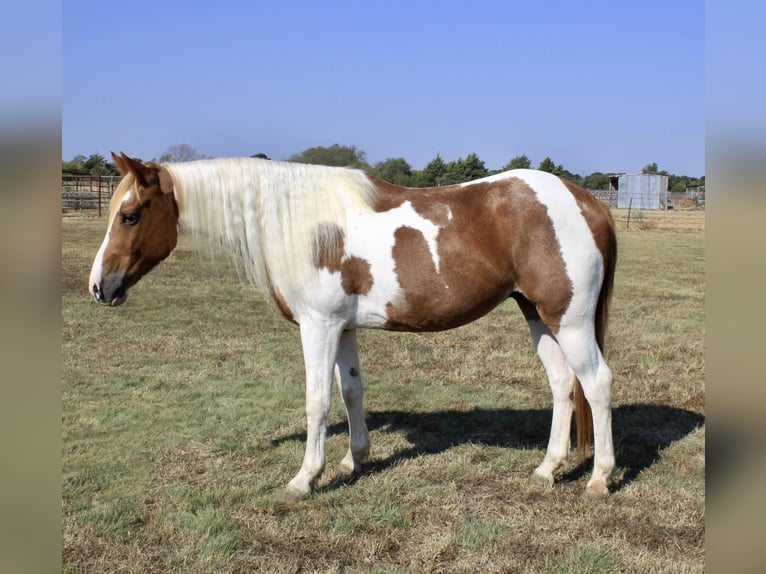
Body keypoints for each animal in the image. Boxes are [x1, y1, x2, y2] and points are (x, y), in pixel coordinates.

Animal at [88, 151, 616, 502]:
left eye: (130, 215)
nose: (98, 287)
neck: (302, 224)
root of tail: (587, 201)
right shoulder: (342, 328)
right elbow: (352, 391)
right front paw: (354, 459)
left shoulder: (318, 327)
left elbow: (317, 401)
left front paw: (305, 479)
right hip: (537, 315)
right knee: (562, 384)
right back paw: (547, 470)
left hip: (569, 321)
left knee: (596, 384)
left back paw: (598, 479)